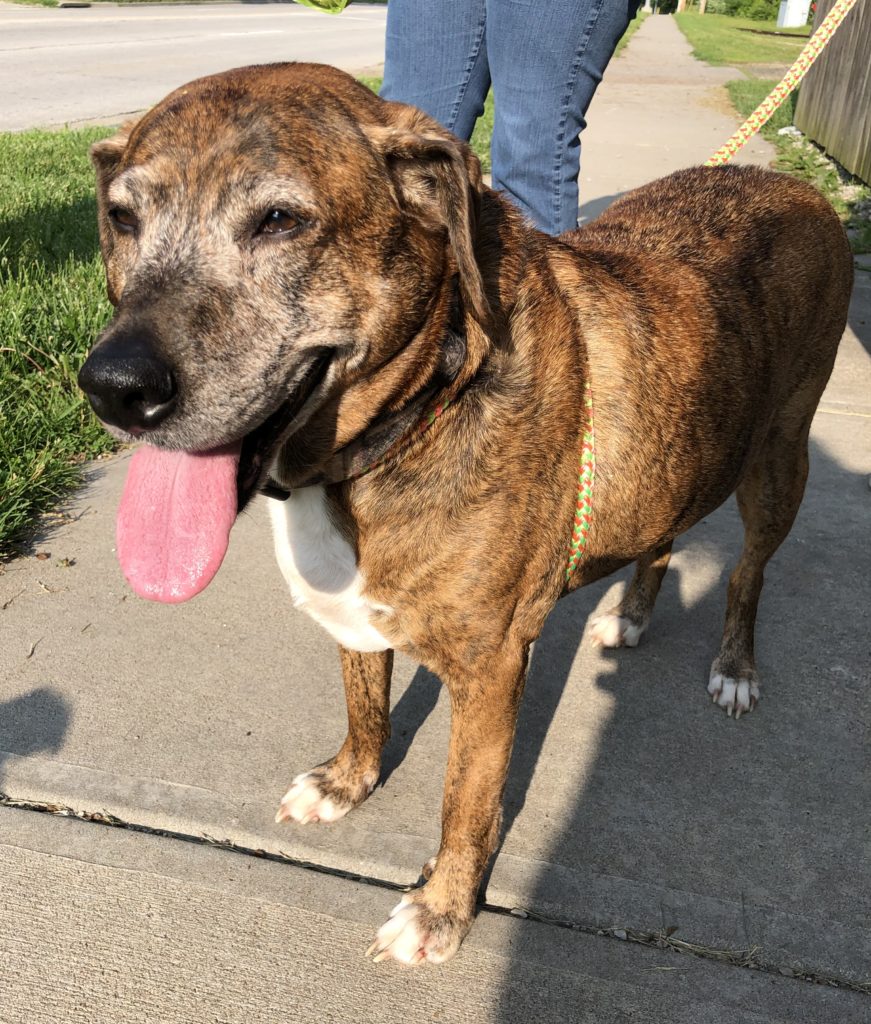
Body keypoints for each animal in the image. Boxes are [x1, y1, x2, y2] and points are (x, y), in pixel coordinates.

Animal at [78, 63, 852, 965]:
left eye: (278, 220)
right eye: (122, 219)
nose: (114, 387)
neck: (427, 396)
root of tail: (792, 185)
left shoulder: (491, 671)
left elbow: (467, 806)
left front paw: (441, 909)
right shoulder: (356, 616)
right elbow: (365, 704)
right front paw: (347, 782)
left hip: (779, 460)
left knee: (746, 573)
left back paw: (733, 666)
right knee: (662, 537)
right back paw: (630, 615)